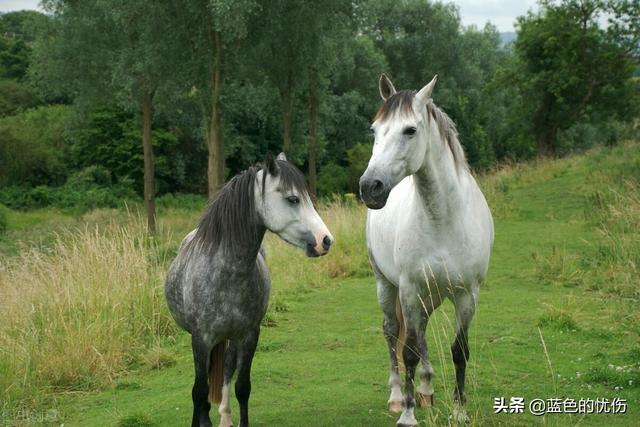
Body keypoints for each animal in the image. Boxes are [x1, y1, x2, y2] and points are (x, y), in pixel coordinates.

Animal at [165, 154, 332, 427]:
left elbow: (242, 387)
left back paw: (224, 417)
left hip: (231, 339)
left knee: (225, 372)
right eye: (293, 199)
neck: (227, 274)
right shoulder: (200, 338)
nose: (326, 240)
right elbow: (199, 390)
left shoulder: (249, 335)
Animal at [360, 75, 496, 426]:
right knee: (393, 332)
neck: (443, 219)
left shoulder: (467, 294)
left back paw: (426, 388)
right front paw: (408, 415)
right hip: (387, 285)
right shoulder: (409, 289)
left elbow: (459, 350)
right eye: (375, 130)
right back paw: (398, 396)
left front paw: (460, 411)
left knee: (421, 330)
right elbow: (407, 350)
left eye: (410, 130)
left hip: (430, 294)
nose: (370, 187)